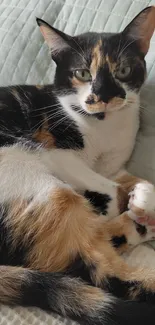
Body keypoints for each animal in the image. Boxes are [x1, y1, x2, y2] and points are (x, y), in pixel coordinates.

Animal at [0, 4, 155, 324]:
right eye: (82, 74)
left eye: (123, 70)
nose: (103, 97)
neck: (105, 127)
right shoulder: (53, 151)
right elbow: (111, 191)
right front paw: (114, 206)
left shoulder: (113, 166)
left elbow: (131, 181)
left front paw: (143, 200)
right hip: (27, 172)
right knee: (98, 272)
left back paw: (138, 226)